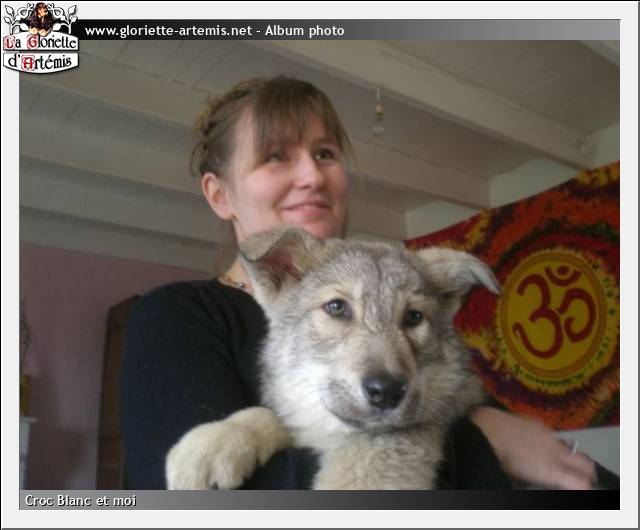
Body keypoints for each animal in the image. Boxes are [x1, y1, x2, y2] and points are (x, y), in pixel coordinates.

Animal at [165, 227, 500, 490]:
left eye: (414, 318)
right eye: (337, 308)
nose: (387, 392)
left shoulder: (399, 436)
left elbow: (361, 467)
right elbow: (272, 415)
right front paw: (221, 438)